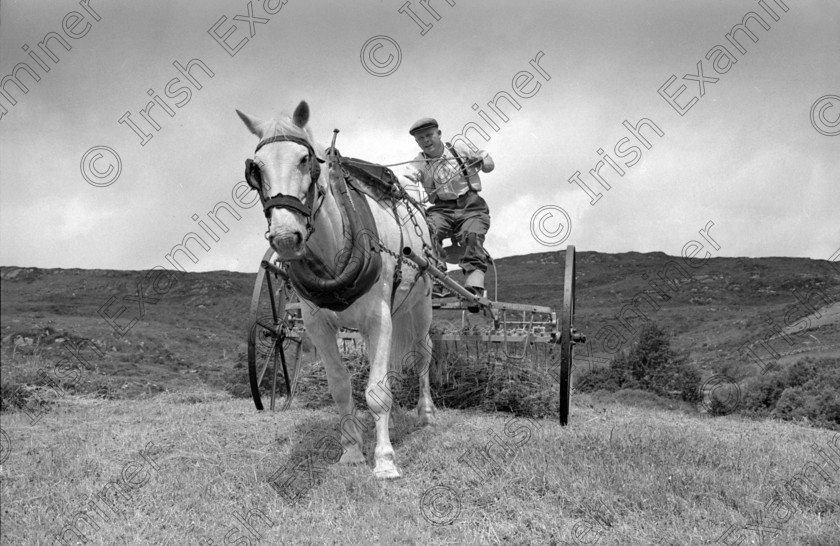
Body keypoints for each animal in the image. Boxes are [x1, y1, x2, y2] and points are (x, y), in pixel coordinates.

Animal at [235, 101, 434, 476]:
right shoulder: (317, 325)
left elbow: (377, 392)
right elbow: (342, 387)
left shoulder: (380, 317)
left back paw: (427, 413)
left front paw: (385, 460)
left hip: (422, 302)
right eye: (256, 170)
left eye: (305, 160)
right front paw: (352, 450)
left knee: (423, 352)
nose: (286, 237)